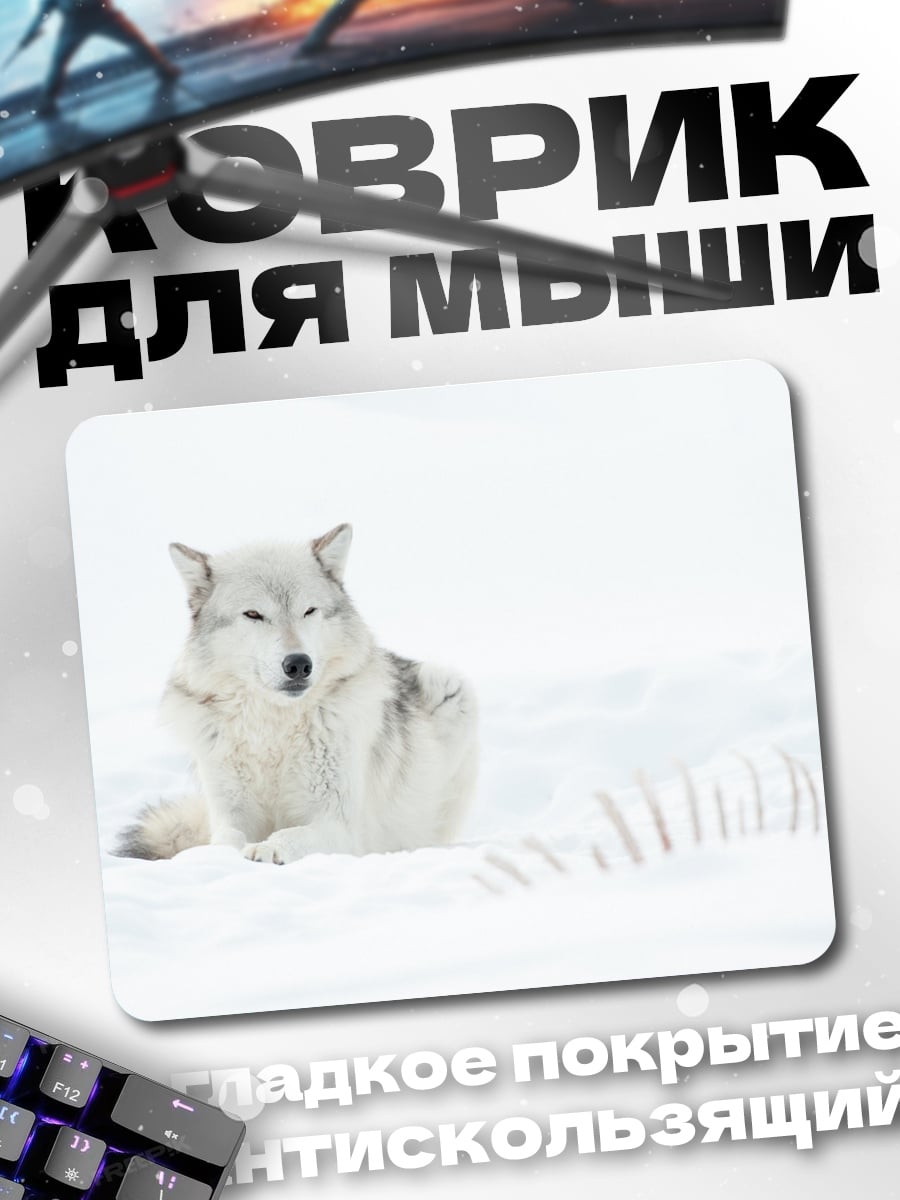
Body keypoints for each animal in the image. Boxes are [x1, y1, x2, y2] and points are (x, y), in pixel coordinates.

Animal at [117, 524, 479, 865]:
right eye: (254, 614)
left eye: (309, 611)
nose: (298, 664)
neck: (274, 730)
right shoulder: (230, 813)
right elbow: (227, 839)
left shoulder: (338, 825)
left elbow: (289, 834)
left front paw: (267, 849)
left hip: (449, 688)